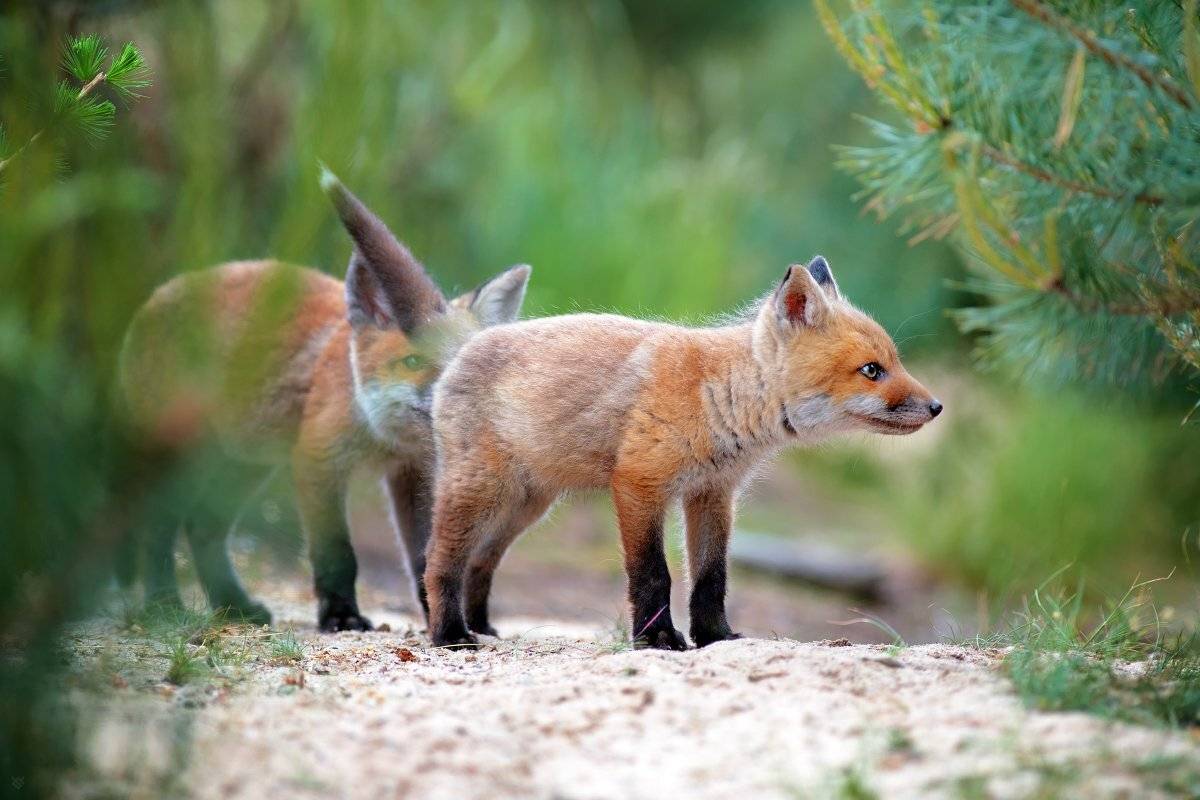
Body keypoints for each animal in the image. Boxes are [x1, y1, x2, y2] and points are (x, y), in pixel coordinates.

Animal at [118, 171, 530, 631]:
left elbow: (425, 556)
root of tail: (154, 298)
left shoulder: (415, 475)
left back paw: (234, 605)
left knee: (201, 525)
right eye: (412, 361)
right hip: (180, 453)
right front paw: (341, 616)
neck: (384, 441)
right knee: (157, 529)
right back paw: (162, 604)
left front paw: (442, 618)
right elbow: (337, 555)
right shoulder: (318, 461)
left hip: (246, 462)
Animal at [425, 256, 942, 649]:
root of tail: (465, 345)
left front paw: (715, 636)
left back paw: (482, 626)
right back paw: (450, 633)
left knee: (481, 563)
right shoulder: (639, 482)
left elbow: (712, 578)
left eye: (895, 362)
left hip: (525, 507)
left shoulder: (713, 493)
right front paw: (656, 640)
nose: (937, 407)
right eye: (871, 370)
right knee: (440, 561)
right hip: (481, 493)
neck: (718, 397)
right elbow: (654, 574)